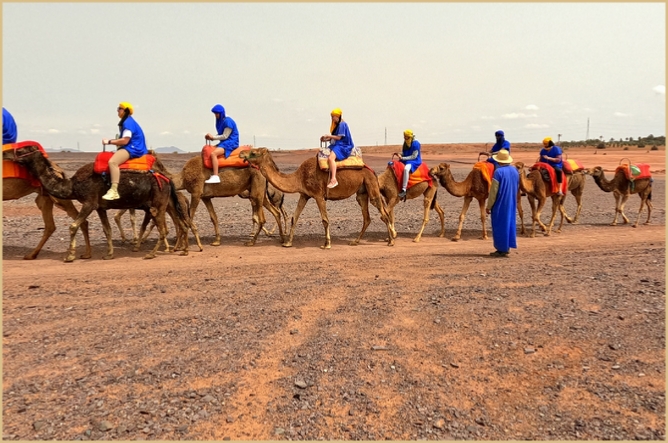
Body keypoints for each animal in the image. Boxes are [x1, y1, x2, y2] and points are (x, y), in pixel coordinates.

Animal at [3, 144, 189, 262]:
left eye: (21, 149)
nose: (5, 153)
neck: (72, 185)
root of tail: (166, 180)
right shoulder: (101, 207)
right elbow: (107, 230)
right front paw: (108, 255)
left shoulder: (89, 202)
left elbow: (73, 226)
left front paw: (70, 256)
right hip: (160, 204)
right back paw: (182, 250)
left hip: (158, 204)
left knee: (164, 228)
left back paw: (152, 253)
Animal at [237, 149, 394, 250]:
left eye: (254, 152)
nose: (241, 153)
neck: (299, 177)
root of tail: (371, 170)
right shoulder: (304, 194)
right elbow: (295, 217)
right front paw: (287, 243)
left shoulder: (318, 195)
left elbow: (325, 220)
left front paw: (327, 244)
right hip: (361, 193)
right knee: (367, 217)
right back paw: (355, 241)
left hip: (371, 185)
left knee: (383, 213)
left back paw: (391, 241)